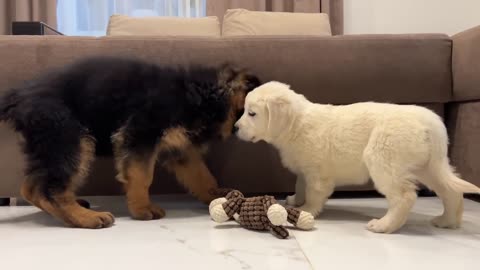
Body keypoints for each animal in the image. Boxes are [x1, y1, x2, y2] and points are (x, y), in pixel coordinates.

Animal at [0, 56, 260, 228]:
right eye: (250, 110)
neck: (198, 94)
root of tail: (18, 96)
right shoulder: (139, 134)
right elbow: (142, 176)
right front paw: (142, 209)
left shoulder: (180, 148)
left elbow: (202, 175)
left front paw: (217, 195)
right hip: (69, 137)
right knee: (51, 189)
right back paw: (85, 218)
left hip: (50, 144)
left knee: (32, 187)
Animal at [235, 81, 480, 233]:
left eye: (252, 113)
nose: (235, 128)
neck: (296, 124)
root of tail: (431, 121)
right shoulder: (305, 169)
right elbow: (300, 184)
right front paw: (296, 200)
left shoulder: (318, 172)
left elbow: (314, 193)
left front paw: (307, 210)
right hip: (429, 166)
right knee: (450, 192)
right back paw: (447, 221)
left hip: (384, 159)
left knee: (405, 197)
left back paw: (383, 226)